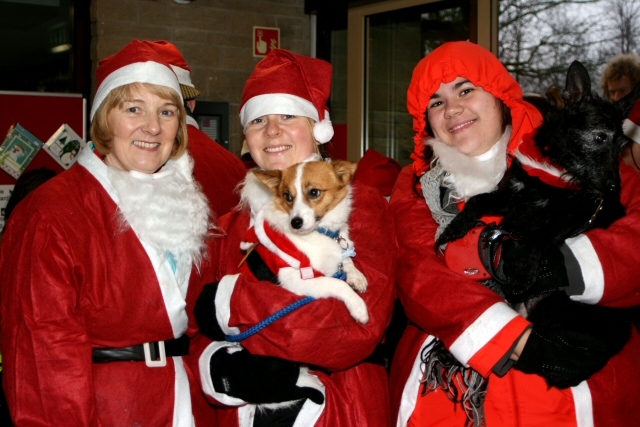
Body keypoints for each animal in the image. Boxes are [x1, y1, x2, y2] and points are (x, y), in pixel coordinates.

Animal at [240, 155, 370, 326]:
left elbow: (347, 259)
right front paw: (358, 305)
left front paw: (356, 275)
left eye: (314, 192)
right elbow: (337, 283)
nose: (295, 223)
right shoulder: (296, 278)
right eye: (287, 196)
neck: (322, 231)